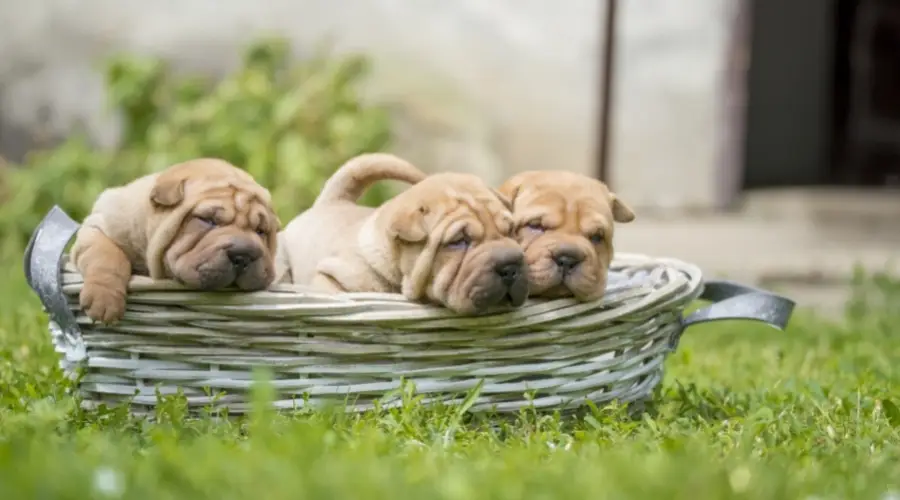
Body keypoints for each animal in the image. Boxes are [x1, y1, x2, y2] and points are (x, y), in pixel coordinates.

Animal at [71, 159, 278, 324]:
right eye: (208, 221)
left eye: (261, 231)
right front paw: (104, 300)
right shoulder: (99, 227)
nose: (243, 255)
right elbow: (107, 257)